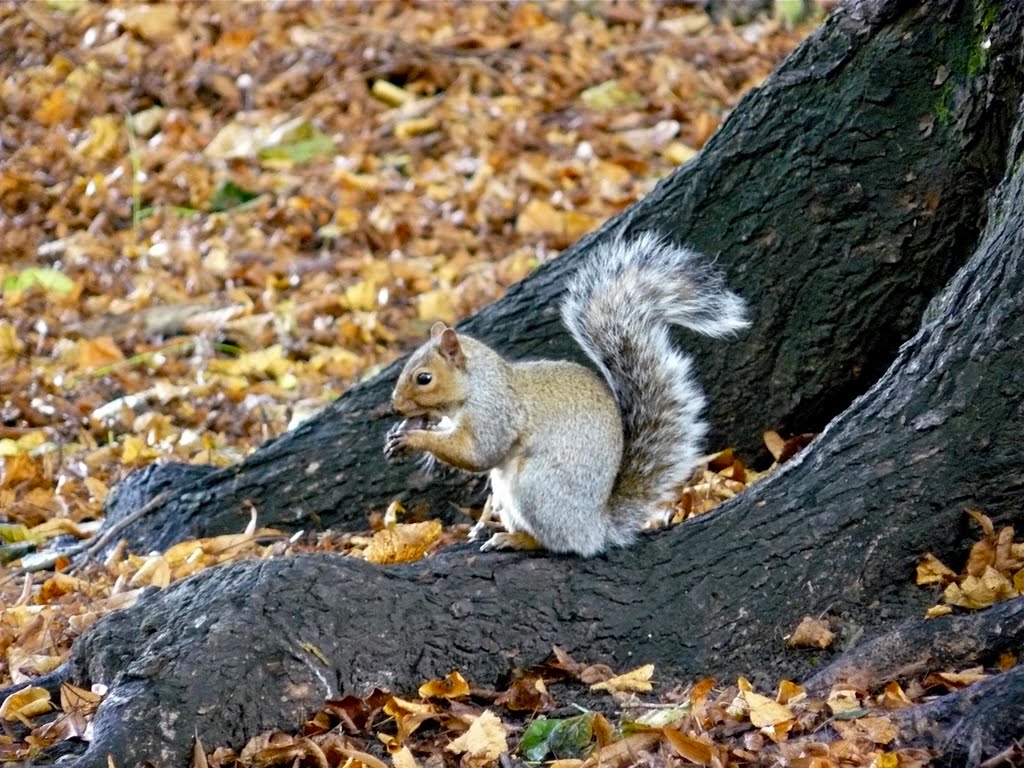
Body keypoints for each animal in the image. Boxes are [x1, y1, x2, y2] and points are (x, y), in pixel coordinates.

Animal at [380, 231, 749, 557]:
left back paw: (517, 540)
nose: (396, 407)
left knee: (561, 544)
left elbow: (478, 453)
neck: (476, 385)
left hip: (537, 488)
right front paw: (403, 434)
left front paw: (415, 439)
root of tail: (596, 528)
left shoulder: (495, 411)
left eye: (424, 378)